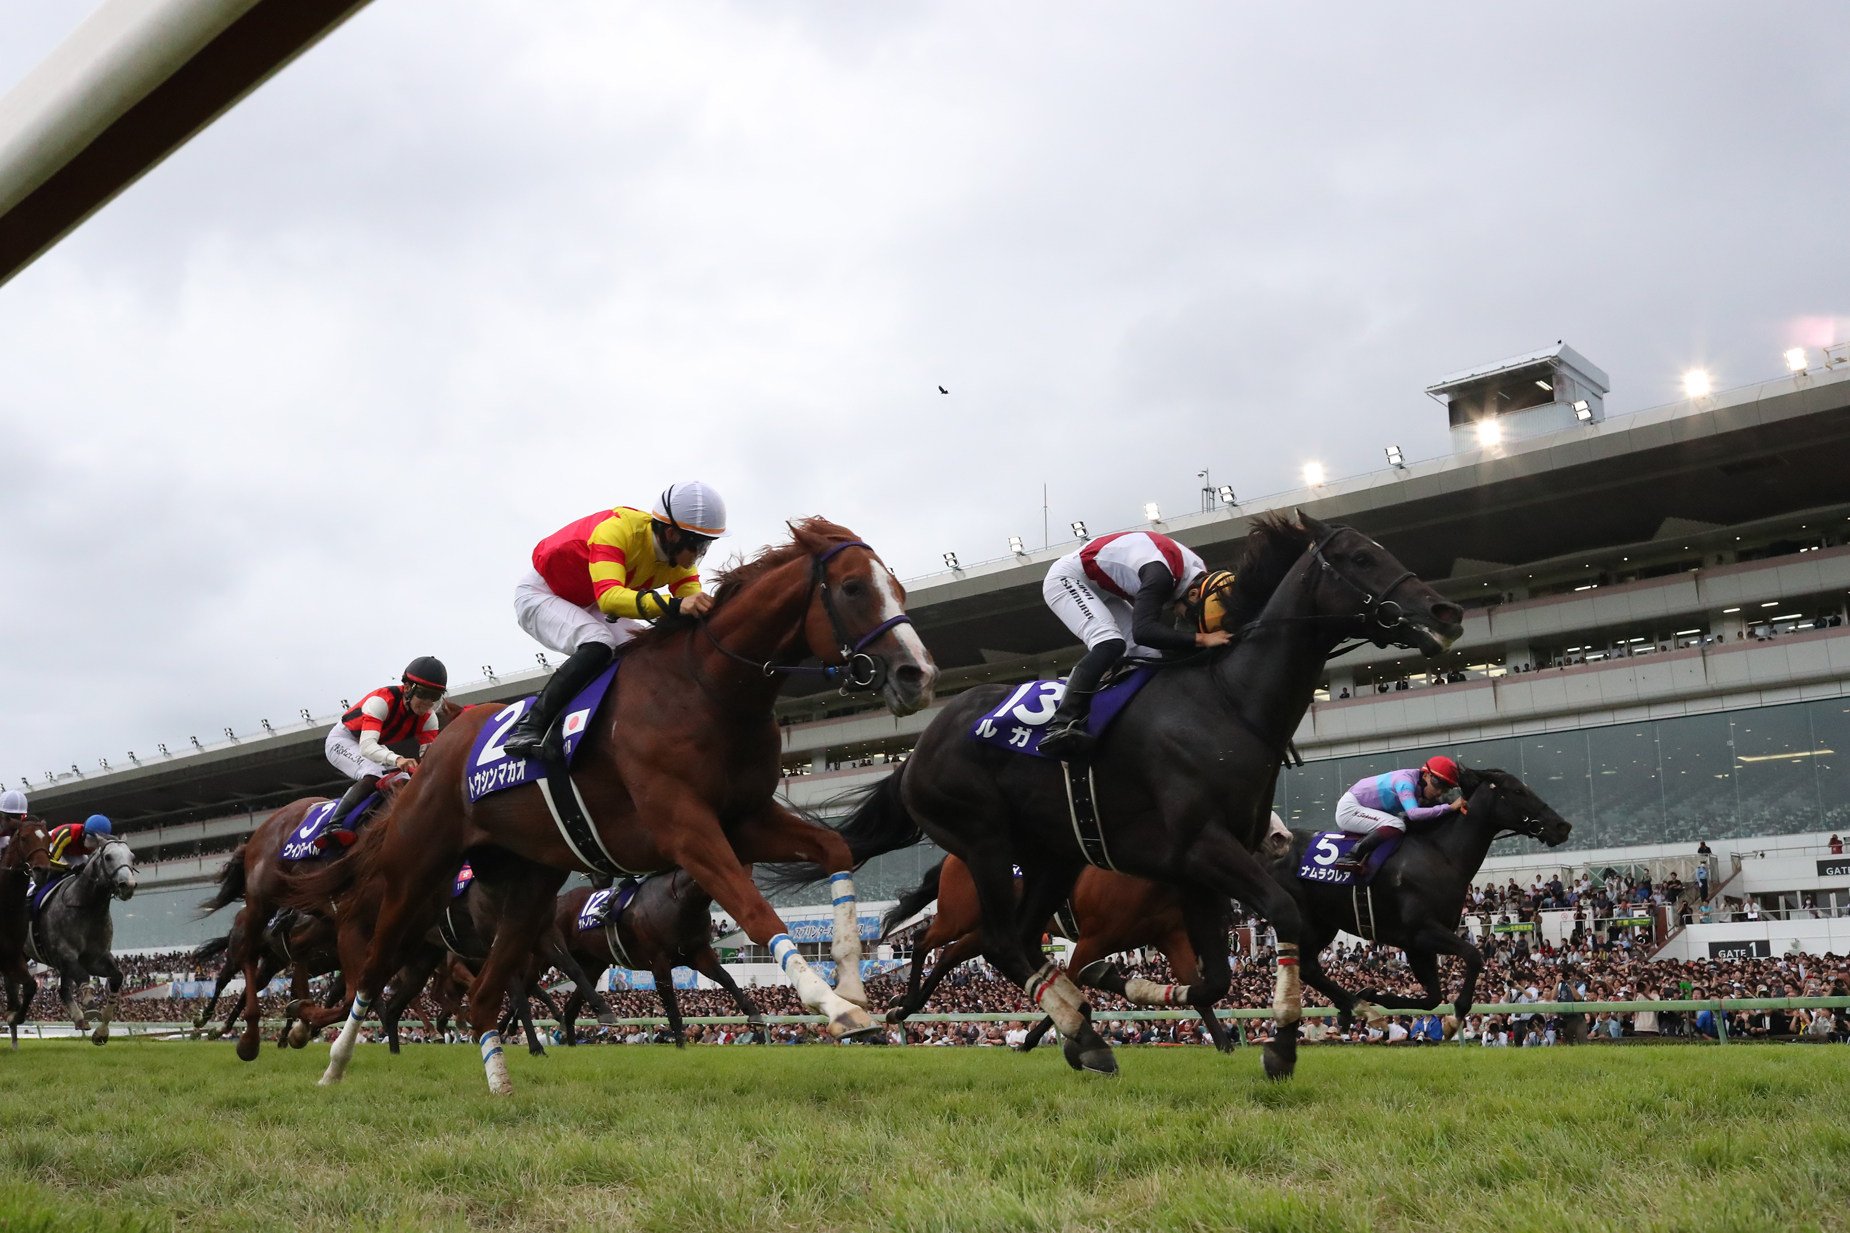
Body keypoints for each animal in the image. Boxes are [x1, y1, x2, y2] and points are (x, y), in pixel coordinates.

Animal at [28, 836, 138, 1036]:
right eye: (108, 857)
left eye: (132, 857)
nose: (128, 885)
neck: (87, 908)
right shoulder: (66, 954)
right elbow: (83, 977)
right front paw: (91, 1007)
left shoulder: (95, 958)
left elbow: (117, 977)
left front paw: (101, 1030)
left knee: (63, 990)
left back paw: (79, 1019)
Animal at [547, 870, 765, 1044]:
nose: (751, 897)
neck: (681, 901)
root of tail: (559, 899)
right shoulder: (659, 961)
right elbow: (671, 1006)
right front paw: (681, 1047)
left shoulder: (699, 953)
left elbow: (726, 978)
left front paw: (754, 1013)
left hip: (593, 965)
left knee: (572, 1005)